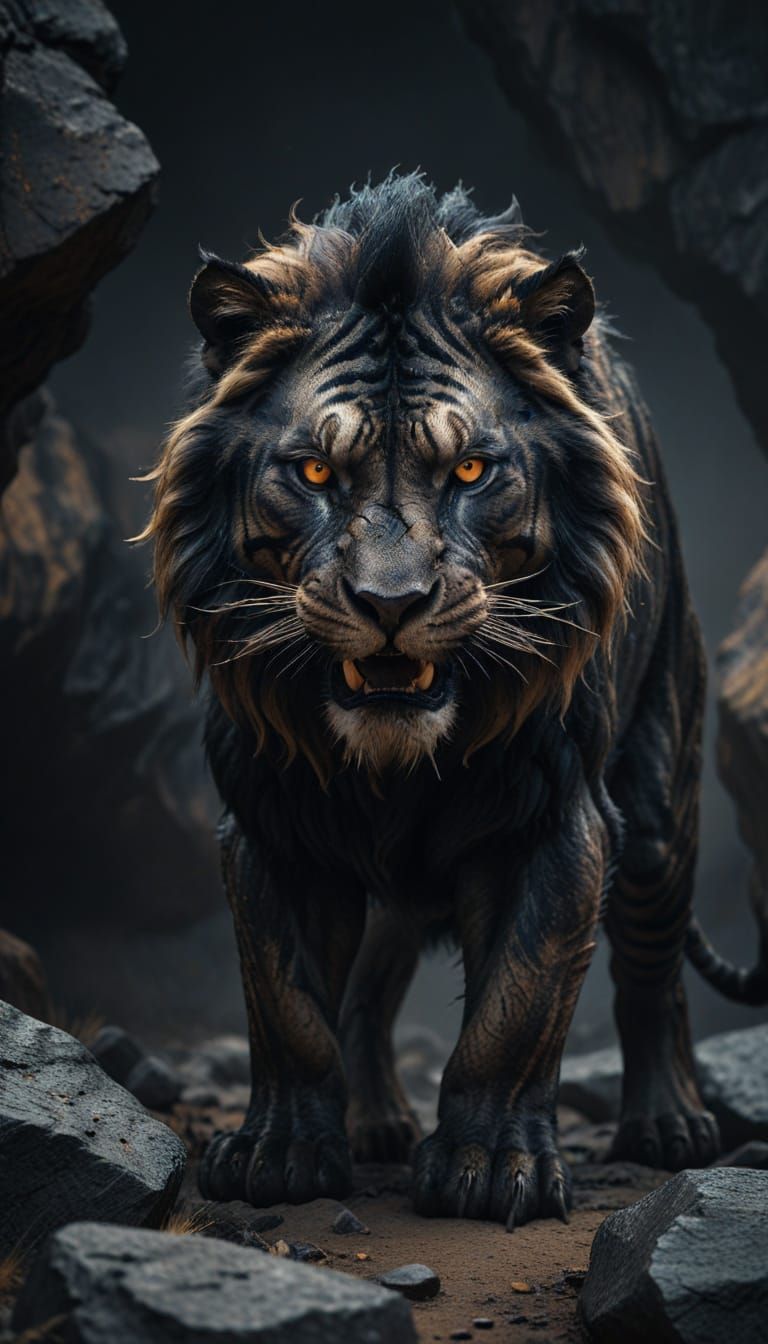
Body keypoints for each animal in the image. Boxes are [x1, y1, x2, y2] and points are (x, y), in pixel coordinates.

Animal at [140, 174, 768, 1226]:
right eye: (316, 471)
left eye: (470, 470)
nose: (390, 605)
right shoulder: (272, 818)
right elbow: (288, 1005)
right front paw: (279, 1152)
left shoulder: (552, 820)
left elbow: (516, 1010)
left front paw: (491, 1164)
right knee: (367, 991)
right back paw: (374, 1125)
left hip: (656, 801)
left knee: (651, 972)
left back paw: (669, 1123)